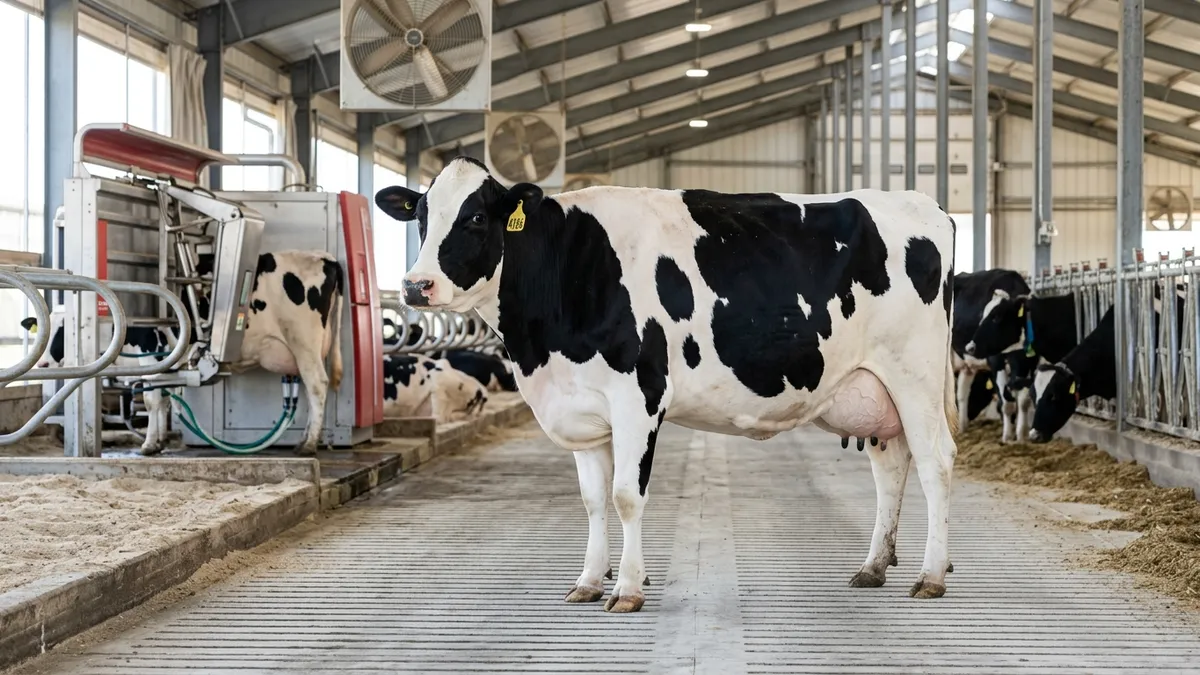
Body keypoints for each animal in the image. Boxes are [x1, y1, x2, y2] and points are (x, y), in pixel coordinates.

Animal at [22, 250, 344, 456]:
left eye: (65, 330)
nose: (43, 363)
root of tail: (324, 258)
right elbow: (164, 400)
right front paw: (161, 440)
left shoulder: (152, 357)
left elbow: (152, 401)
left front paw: (149, 445)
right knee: (310, 389)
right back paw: (305, 438)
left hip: (303, 341)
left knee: (317, 385)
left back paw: (309, 445)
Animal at [375, 157, 959, 612]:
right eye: (421, 216)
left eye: (475, 217)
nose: (416, 285)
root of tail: (928, 208)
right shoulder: (581, 406)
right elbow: (592, 499)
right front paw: (588, 582)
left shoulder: (638, 396)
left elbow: (626, 496)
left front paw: (628, 589)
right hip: (873, 388)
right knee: (891, 467)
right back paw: (874, 566)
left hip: (916, 376)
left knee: (935, 463)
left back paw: (930, 575)